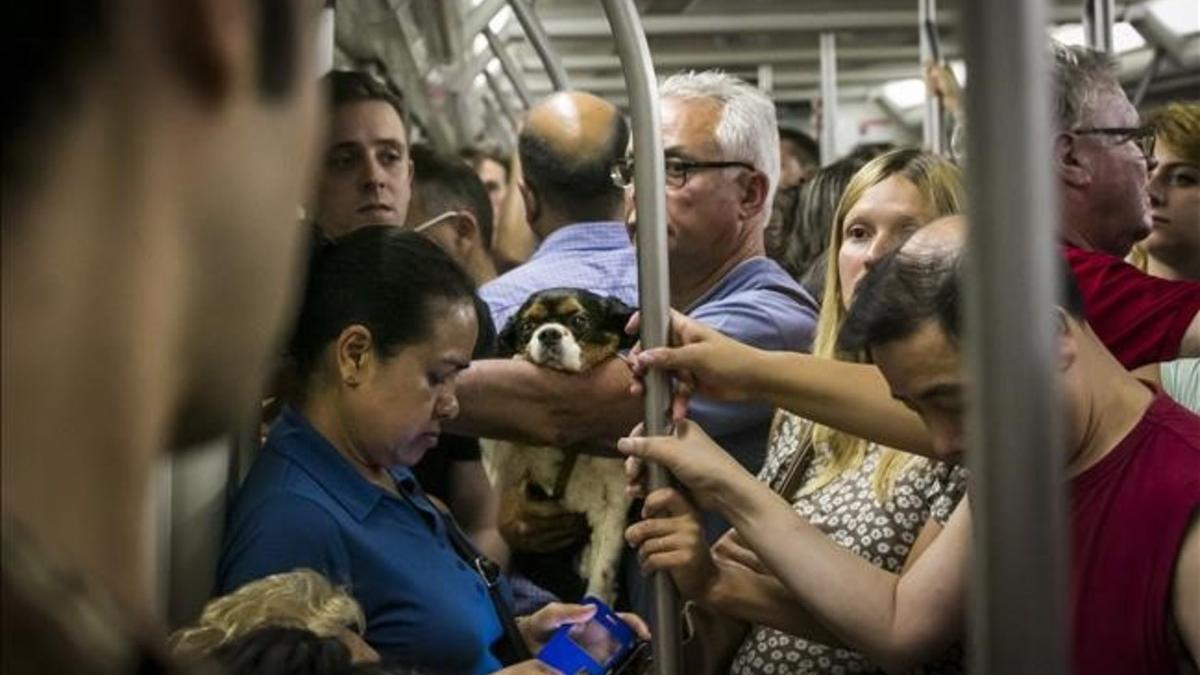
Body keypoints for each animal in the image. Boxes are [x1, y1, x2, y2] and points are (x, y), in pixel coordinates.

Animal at [482, 285, 643, 600]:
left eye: (579, 320)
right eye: (527, 326)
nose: (548, 334)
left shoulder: (613, 502)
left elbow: (601, 575)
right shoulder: (509, 469)